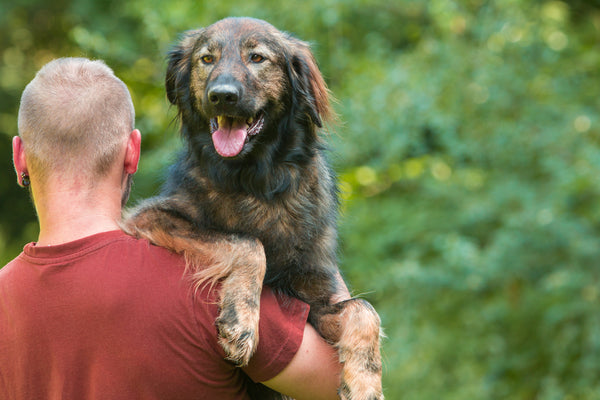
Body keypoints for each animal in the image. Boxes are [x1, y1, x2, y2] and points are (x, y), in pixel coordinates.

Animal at [123, 17, 382, 398]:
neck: (255, 182)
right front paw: (241, 322)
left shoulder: (317, 292)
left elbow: (364, 311)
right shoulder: (150, 216)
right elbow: (248, 244)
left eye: (257, 58)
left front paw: (365, 383)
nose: (222, 95)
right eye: (207, 59)